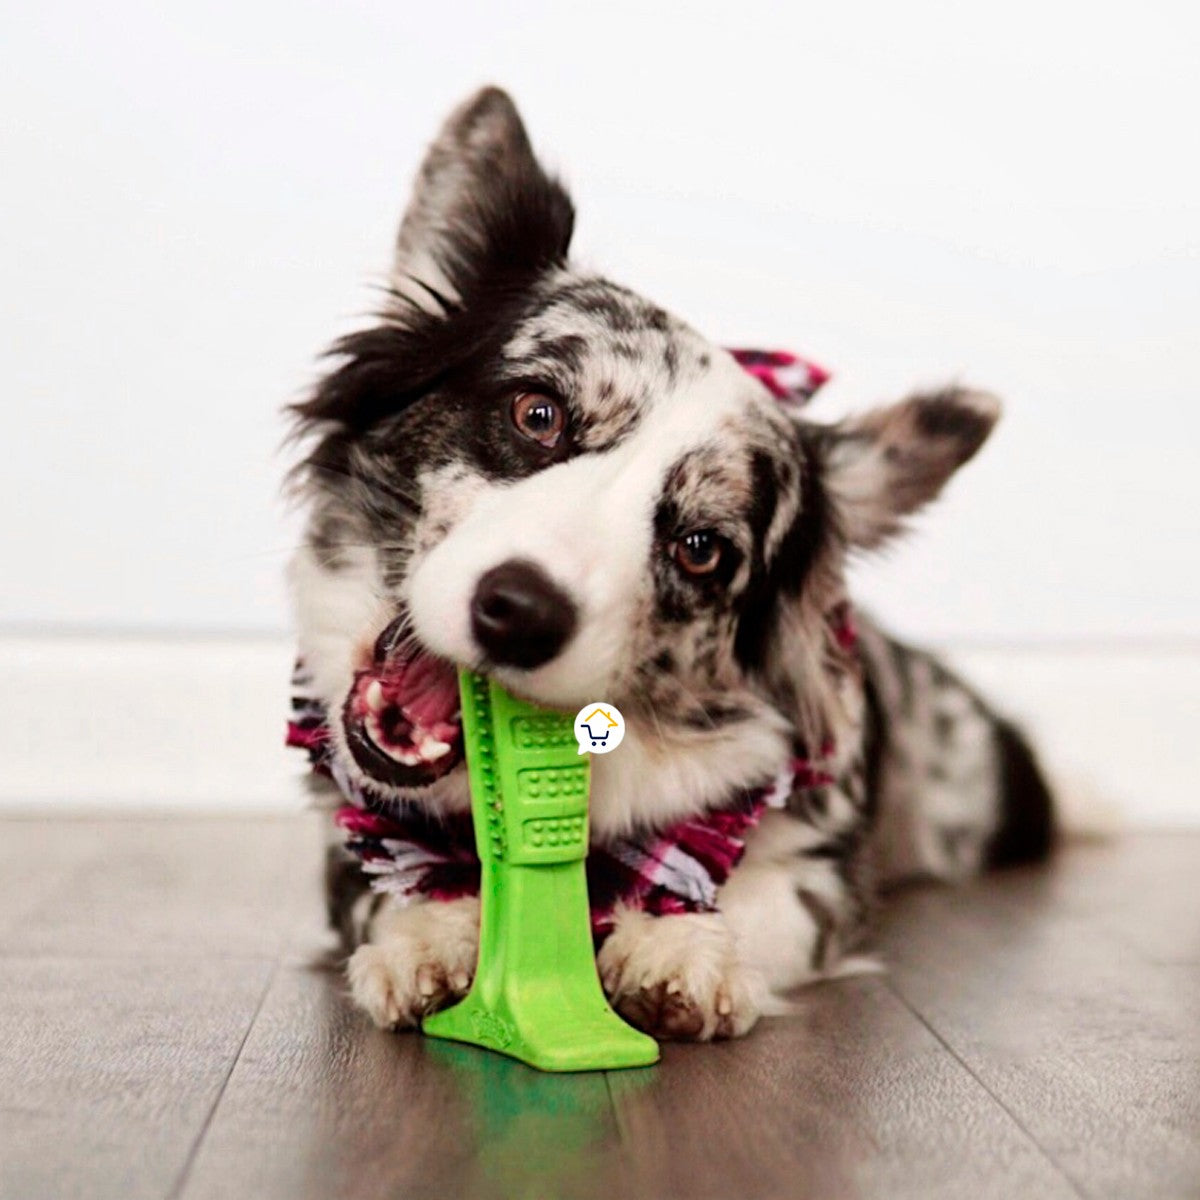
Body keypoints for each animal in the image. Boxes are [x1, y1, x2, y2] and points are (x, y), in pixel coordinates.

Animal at [285, 87, 1056, 1041]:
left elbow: (763, 900)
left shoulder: (818, 860)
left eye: (700, 549)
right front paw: (430, 936)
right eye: (537, 414)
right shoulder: (349, 837)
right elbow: (393, 890)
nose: (522, 612)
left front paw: (677, 948)